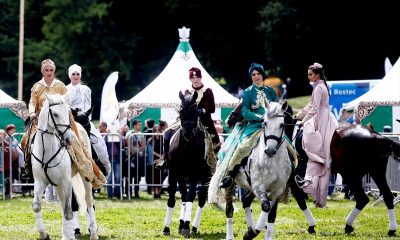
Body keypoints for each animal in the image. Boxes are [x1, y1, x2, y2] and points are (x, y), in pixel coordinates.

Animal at [30, 94, 99, 240]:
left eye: (67, 114)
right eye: (55, 114)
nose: (68, 139)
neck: (47, 151)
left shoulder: (66, 182)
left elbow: (68, 211)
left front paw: (71, 235)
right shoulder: (40, 182)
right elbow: (36, 206)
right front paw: (44, 234)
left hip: (85, 179)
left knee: (89, 202)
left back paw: (93, 233)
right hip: (58, 186)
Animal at [162, 91, 212, 237]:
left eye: (196, 112)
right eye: (181, 111)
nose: (188, 132)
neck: (187, 147)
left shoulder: (195, 174)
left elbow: (190, 197)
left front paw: (186, 227)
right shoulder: (174, 172)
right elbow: (174, 198)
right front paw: (167, 228)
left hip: (206, 175)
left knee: (201, 198)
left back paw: (193, 226)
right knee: (184, 196)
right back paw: (181, 223)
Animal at [209, 100, 290, 239]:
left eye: (282, 124)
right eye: (264, 123)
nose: (270, 150)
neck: (273, 161)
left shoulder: (278, 190)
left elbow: (271, 215)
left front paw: (253, 231)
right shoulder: (259, 187)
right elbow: (266, 206)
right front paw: (251, 233)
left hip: (251, 188)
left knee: (246, 201)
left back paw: (250, 226)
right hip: (231, 186)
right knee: (229, 210)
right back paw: (232, 235)